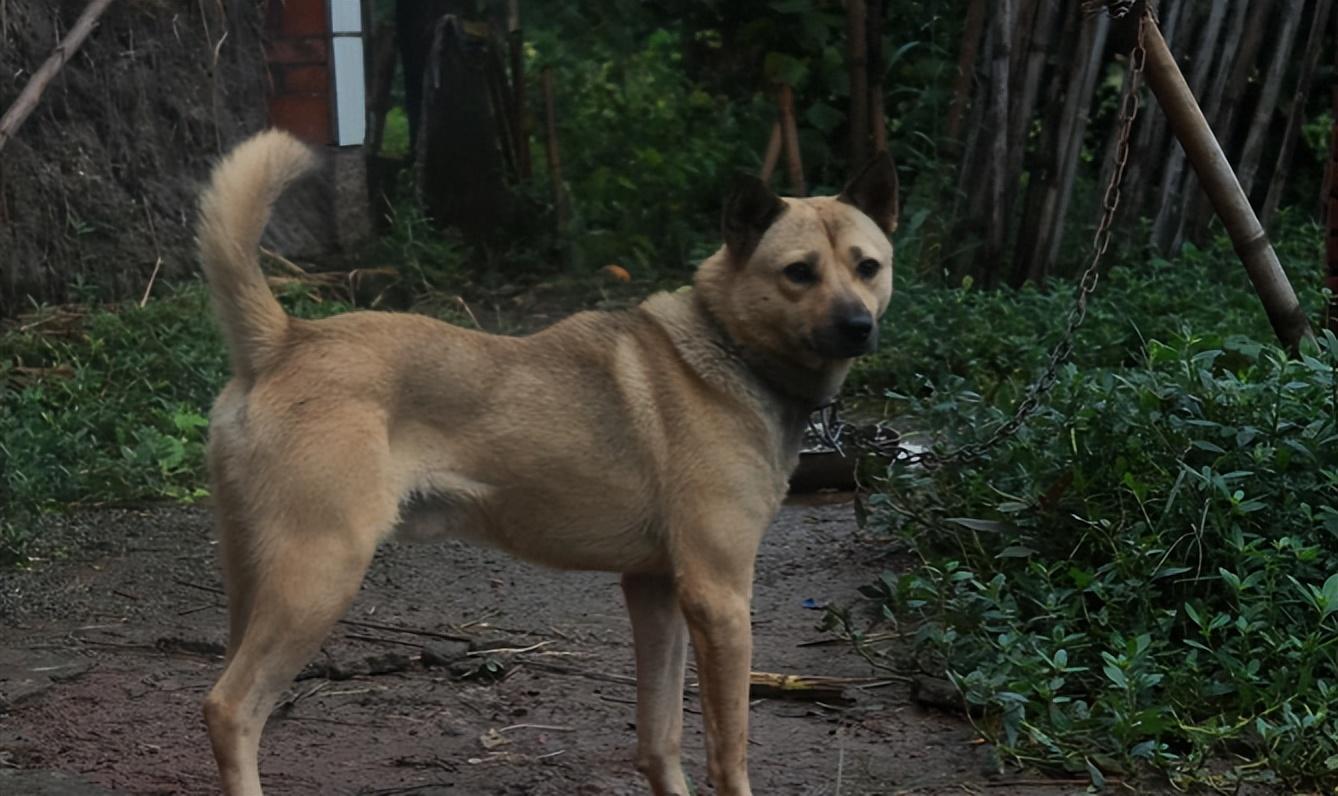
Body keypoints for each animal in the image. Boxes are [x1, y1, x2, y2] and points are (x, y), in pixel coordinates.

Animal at [194, 131, 893, 796]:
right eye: (798, 272)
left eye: (868, 266)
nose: (859, 326)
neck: (729, 345)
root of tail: (283, 341)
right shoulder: (718, 598)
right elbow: (730, 748)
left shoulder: (655, 591)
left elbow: (660, 735)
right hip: (320, 577)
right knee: (230, 708)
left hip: (256, 581)